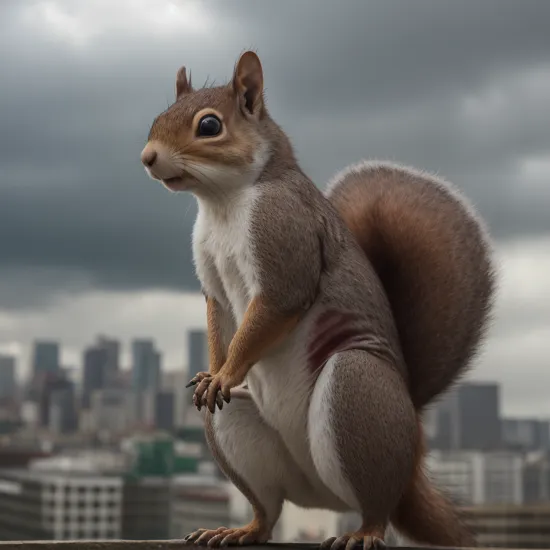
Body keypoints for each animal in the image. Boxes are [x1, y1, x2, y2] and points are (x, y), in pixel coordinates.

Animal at [140, 51, 498, 550]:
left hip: (356, 392)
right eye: (158, 116)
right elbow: (218, 318)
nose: (147, 158)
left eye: (209, 125)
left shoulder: (284, 240)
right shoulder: (212, 282)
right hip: (242, 433)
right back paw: (239, 529)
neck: (223, 202)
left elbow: (274, 307)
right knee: (267, 510)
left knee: (376, 505)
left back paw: (363, 532)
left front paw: (227, 370)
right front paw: (214, 372)